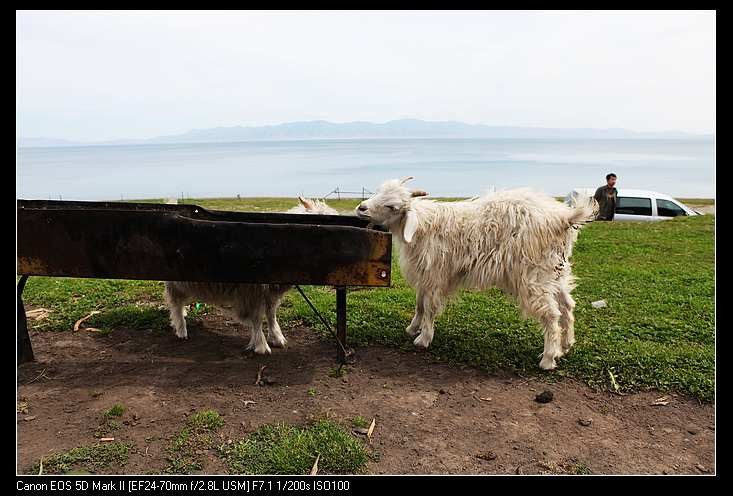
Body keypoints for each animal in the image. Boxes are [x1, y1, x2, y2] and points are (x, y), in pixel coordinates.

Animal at [164, 196, 338, 354]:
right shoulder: (250, 292)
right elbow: (257, 318)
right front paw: (261, 345)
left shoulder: (270, 292)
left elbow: (271, 314)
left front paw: (277, 337)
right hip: (174, 279)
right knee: (175, 303)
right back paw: (181, 329)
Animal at [354, 177, 596, 368]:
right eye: (379, 191)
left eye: (392, 206)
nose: (361, 208)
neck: (423, 227)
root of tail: (563, 218)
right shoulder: (426, 276)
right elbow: (419, 304)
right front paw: (413, 328)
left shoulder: (435, 275)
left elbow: (430, 307)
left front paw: (423, 339)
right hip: (555, 272)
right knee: (567, 305)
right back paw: (566, 346)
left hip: (534, 276)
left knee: (551, 314)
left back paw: (548, 359)